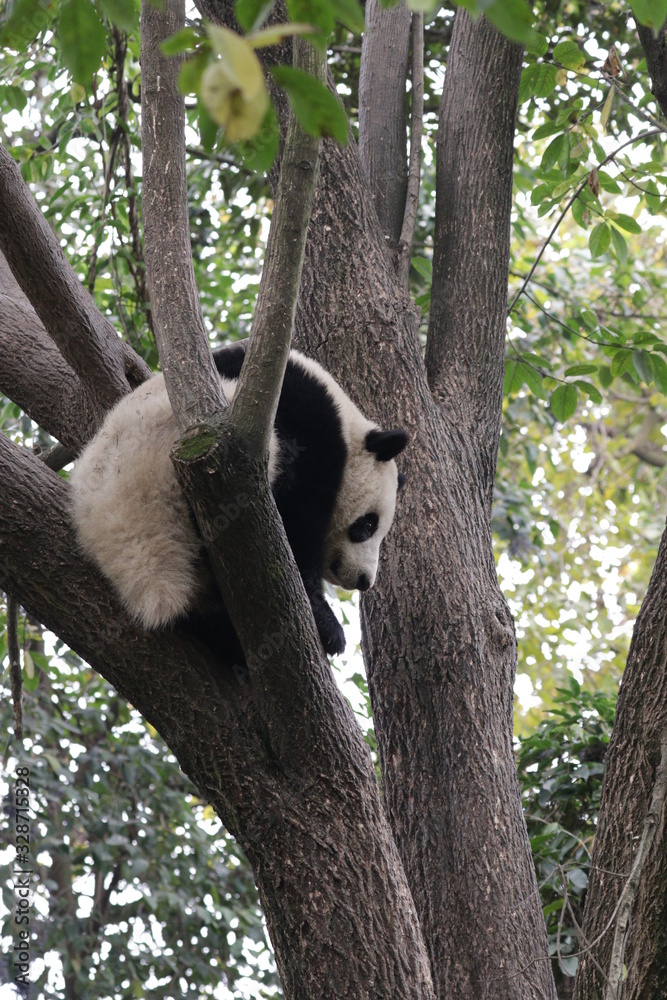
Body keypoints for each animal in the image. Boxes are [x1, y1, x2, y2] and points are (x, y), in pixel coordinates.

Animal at [70, 343, 407, 662]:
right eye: (367, 525)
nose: (364, 580)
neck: (346, 421)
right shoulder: (306, 416)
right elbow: (300, 521)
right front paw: (326, 623)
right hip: (165, 479)